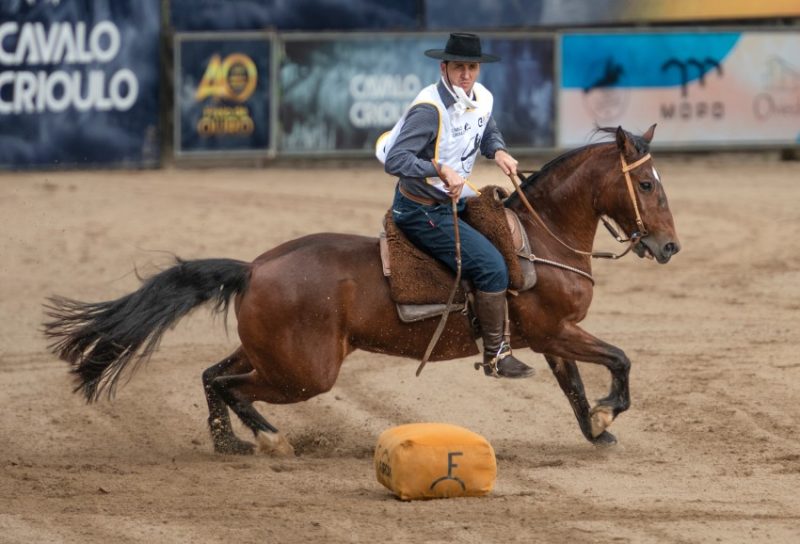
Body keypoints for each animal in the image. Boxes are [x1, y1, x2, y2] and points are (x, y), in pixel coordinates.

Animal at [43, 124, 680, 454]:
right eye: (647, 184)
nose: (669, 246)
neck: (541, 237)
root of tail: (253, 268)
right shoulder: (554, 330)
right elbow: (618, 360)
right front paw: (611, 411)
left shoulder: (551, 338)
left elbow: (575, 387)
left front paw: (596, 427)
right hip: (305, 373)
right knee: (228, 384)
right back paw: (270, 439)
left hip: (271, 353)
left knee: (211, 376)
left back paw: (236, 442)